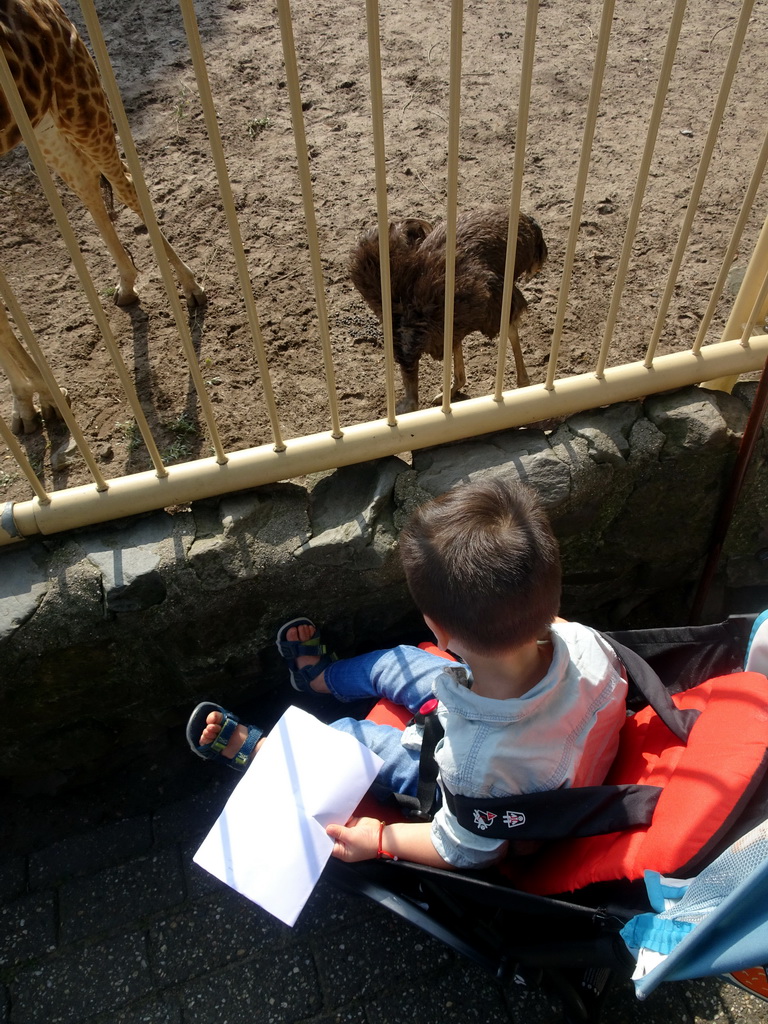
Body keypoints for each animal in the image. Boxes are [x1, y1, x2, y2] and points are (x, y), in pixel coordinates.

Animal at [0, 0, 205, 430]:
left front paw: (49, 398)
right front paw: (26, 405)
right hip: (46, 118)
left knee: (121, 181)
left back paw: (190, 287)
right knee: (90, 186)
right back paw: (127, 283)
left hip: (75, 98)